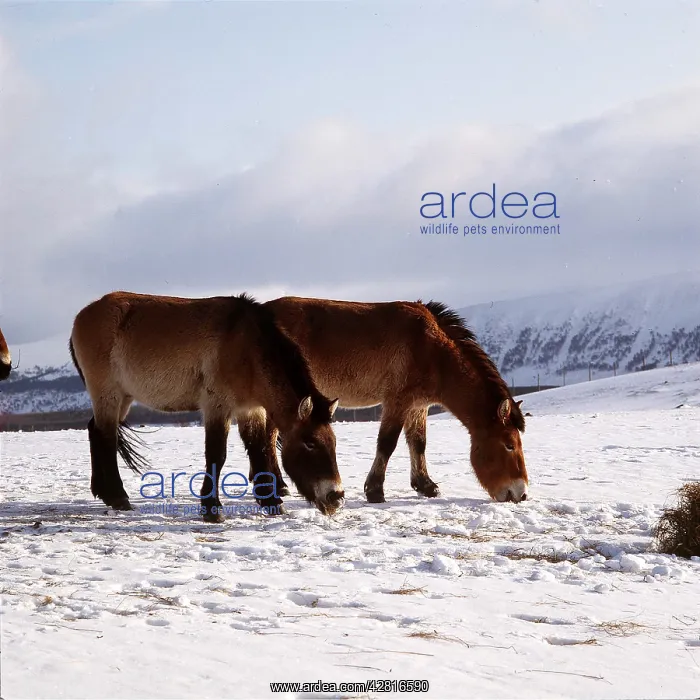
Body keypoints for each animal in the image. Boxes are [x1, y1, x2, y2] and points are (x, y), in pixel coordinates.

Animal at [69, 291, 342, 522]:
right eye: (310, 443)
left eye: (333, 442)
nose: (336, 497)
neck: (247, 347)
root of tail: (82, 316)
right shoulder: (217, 406)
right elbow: (216, 455)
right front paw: (212, 509)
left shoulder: (250, 409)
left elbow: (259, 450)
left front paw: (272, 503)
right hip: (108, 394)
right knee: (106, 437)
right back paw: (118, 497)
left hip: (123, 397)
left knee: (96, 431)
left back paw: (103, 492)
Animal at [237, 297, 528, 504]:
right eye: (509, 445)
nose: (521, 493)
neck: (433, 350)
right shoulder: (397, 401)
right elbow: (387, 443)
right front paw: (375, 490)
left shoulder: (417, 406)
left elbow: (418, 443)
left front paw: (425, 485)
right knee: (268, 438)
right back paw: (276, 485)